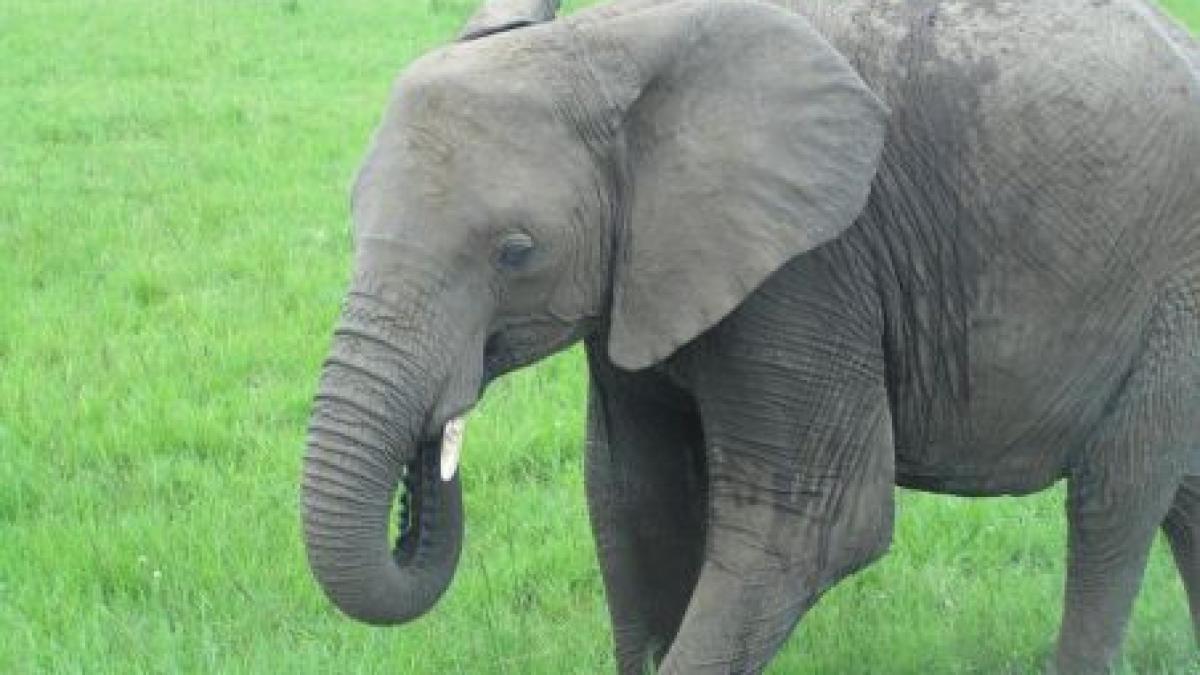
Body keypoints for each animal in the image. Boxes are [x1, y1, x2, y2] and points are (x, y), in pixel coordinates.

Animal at [299, 0, 1200, 672]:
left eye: (516, 251)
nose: (435, 440)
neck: (604, 42)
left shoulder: (811, 265)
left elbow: (810, 523)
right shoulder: (643, 267)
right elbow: (634, 495)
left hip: (1172, 286)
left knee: (1117, 492)